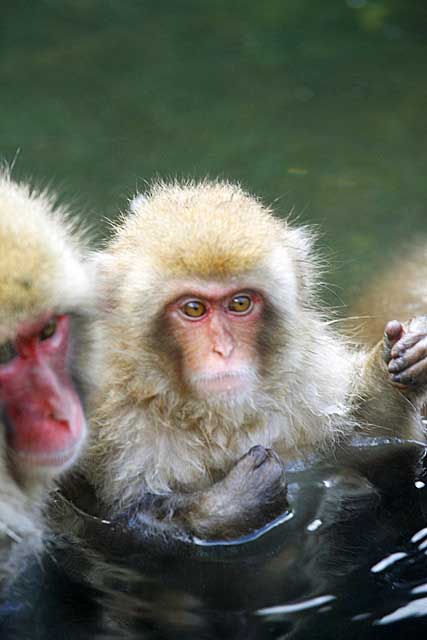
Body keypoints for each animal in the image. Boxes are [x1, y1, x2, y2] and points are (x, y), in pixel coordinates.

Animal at [77, 180, 427, 540]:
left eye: (240, 303)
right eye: (194, 308)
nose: (224, 350)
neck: (215, 419)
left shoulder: (308, 384)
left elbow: (368, 435)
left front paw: (399, 359)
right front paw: (232, 502)